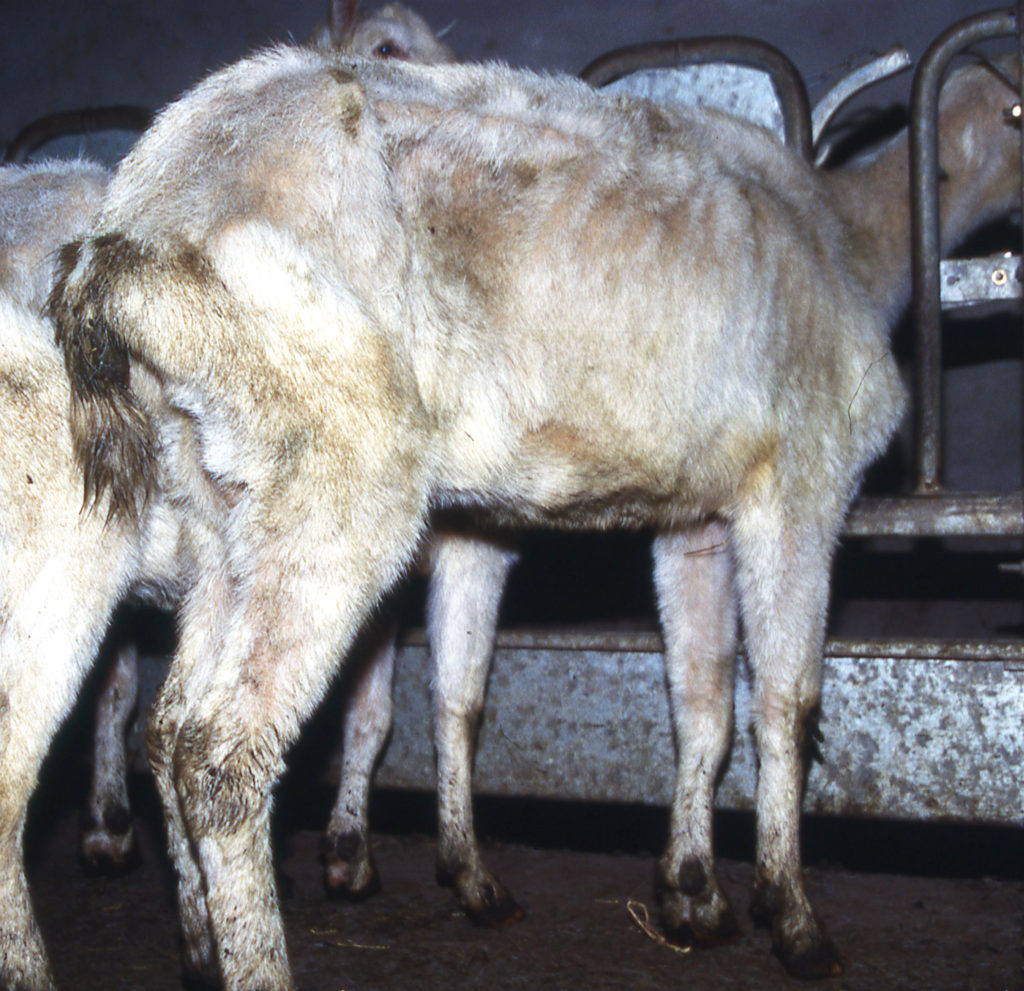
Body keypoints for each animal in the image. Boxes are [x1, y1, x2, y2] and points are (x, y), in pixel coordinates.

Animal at [49, 48, 905, 988]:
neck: (845, 236)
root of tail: (133, 222)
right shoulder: (804, 478)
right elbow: (788, 704)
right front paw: (795, 919)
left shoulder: (697, 519)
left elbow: (702, 699)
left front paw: (695, 894)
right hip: (337, 473)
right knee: (220, 752)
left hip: (217, 503)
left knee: (169, 728)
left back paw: (202, 945)